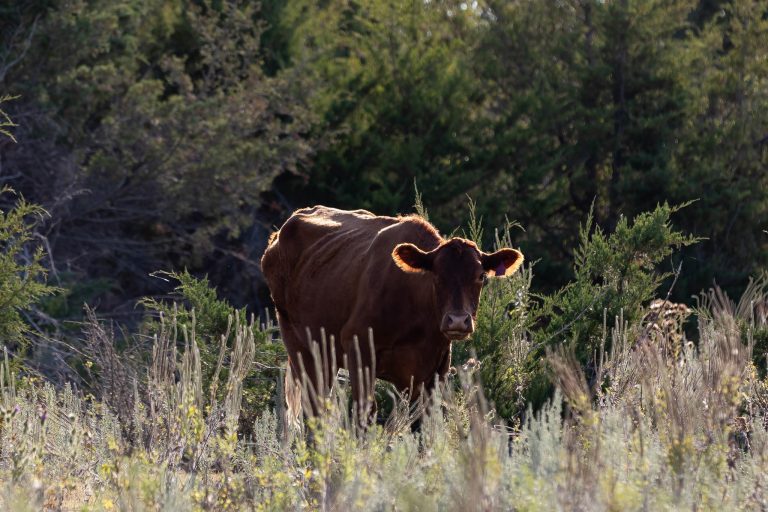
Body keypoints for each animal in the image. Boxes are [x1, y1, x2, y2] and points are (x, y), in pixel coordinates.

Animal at [260, 206, 524, 427]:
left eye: (481, 276)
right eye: (436, 275)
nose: (458, 320)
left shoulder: (435, 369)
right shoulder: (358, 348)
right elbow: (365, 414)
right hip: (300, 346)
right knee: (314, 408)